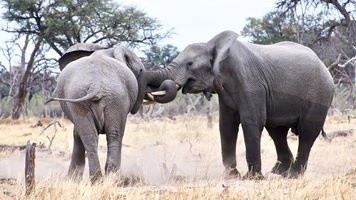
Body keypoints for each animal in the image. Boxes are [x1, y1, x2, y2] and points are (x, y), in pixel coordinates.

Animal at [46, 43, 178, 181]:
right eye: (141, 71)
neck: (109, 50)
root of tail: (96, 84)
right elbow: (78, 134)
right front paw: (73, 179)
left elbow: (77, 134)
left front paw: (73, 180)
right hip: (108, 97)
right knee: (111, 135)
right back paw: (109, 178)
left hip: (102, 97)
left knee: (97, 136)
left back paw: (101, 179)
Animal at [143, 30, 336, 179]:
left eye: (190, 64)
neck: (213, 45)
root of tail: (323, 65)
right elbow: (226, 125)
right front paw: (231, 176)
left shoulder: (251, 83)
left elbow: (251, 122)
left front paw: (252, 178)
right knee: (277, 131)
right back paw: (278, 172)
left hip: (321, 94)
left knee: (307, 133)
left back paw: (293, 175)